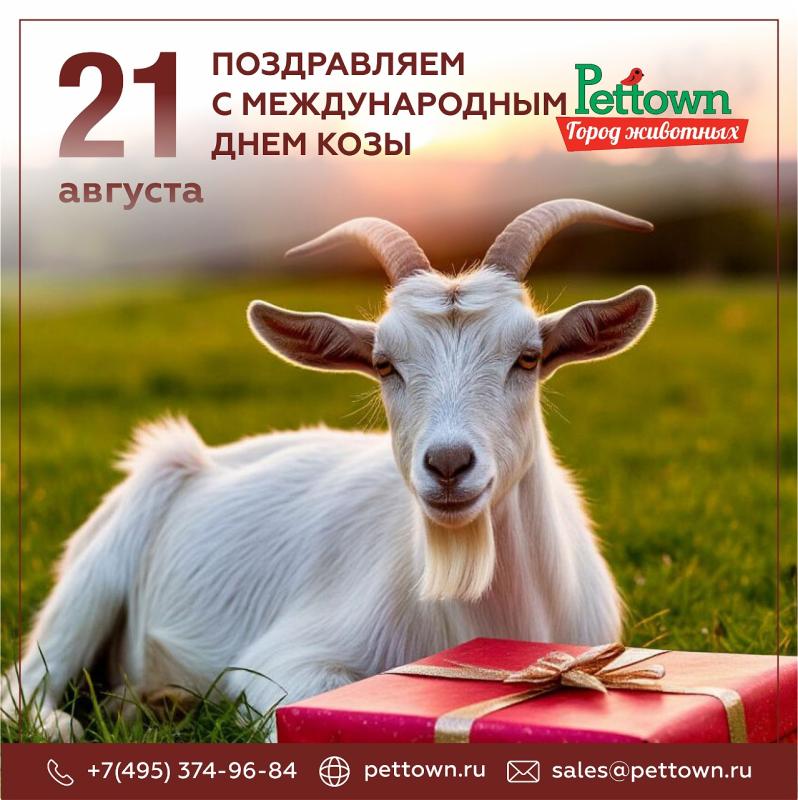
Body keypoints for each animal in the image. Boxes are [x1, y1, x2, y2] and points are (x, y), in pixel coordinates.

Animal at [2, 199, 656, 741]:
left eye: (529, 357)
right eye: (385, 364)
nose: (448, 464)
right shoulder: (282, 663)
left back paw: (151, 705)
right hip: (94, 575)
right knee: (26, 683)